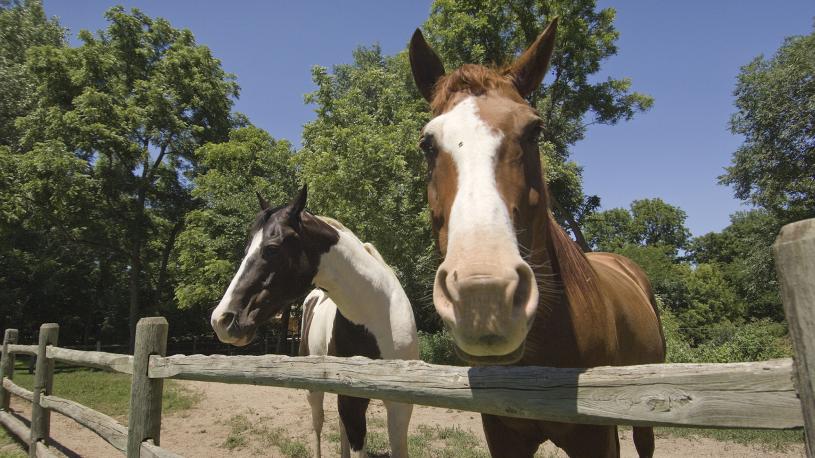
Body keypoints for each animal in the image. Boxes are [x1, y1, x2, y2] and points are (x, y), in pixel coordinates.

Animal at [210, 187, 418, 458]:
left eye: (272, 248)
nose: (221, 319)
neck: (378, 317)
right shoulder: (353, 399)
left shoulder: (400, 404)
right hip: (315, 388)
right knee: (318, 424)